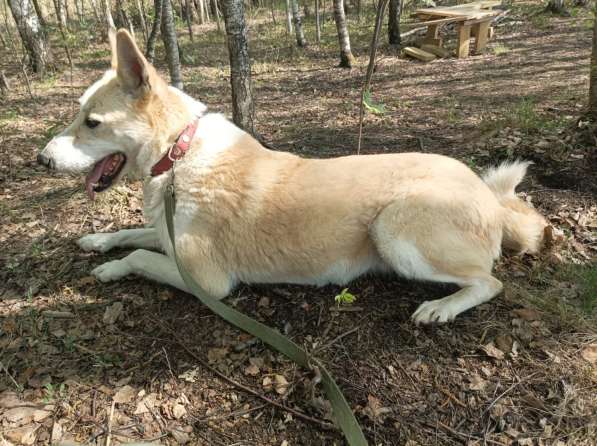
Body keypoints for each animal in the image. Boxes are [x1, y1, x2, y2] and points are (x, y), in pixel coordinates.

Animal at [37, 30, 548, 324]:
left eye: (92, 122)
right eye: (78, 115)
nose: (41, 161)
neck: (179, 154)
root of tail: (488, 196)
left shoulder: (206, 279)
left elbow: (139, 255)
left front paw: (109, 268)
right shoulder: (167, 234)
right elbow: (132, 233)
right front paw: (98, 242)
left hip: (393, 229)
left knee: (490, 283)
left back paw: (441, 308)